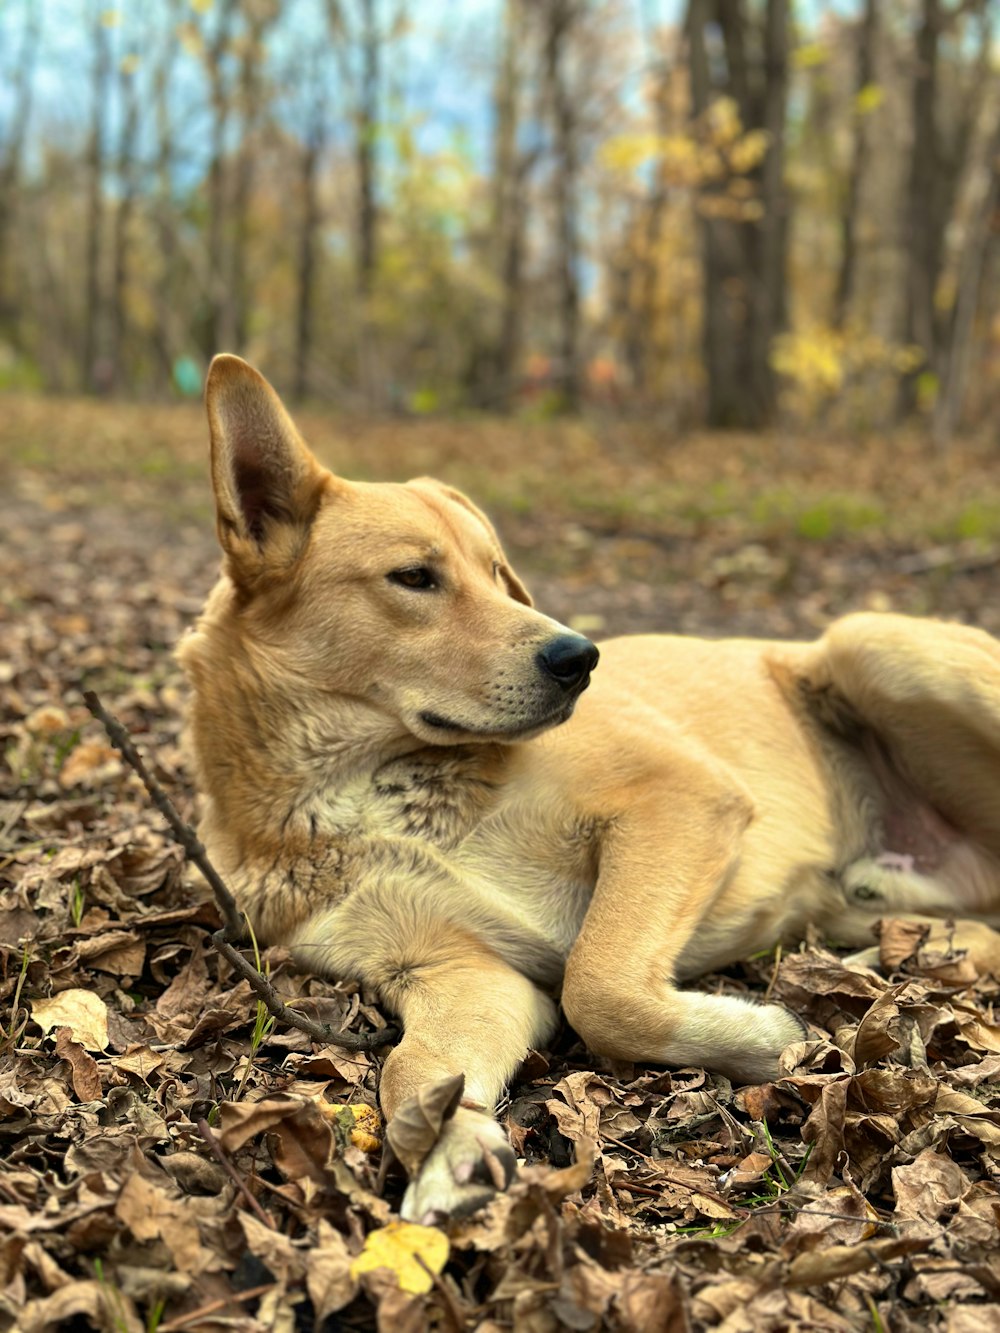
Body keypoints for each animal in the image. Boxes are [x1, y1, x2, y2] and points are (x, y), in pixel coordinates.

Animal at [178, 354, 1000, 1221]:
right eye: (414, 577)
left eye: (498, 574)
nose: (579, 658)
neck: (368, 786)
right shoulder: (455, 971)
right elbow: (416, 1070)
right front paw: (448, 1148)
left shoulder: (679, 799)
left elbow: (597, 987)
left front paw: (764, 1037)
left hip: (870, 642)